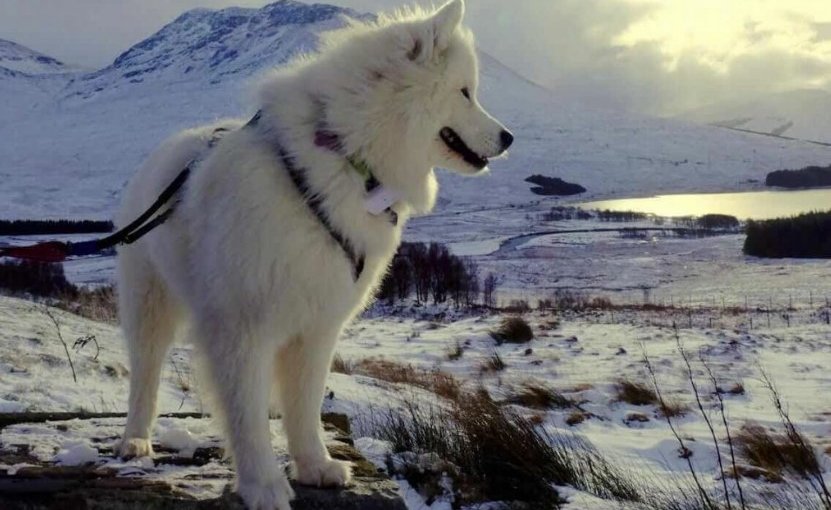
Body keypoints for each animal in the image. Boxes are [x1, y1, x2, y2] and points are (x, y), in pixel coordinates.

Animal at [114, 1, 510, 508]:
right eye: (465, 92)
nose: (508, 138)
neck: (347, 159)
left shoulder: (319, 324)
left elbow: (304, 405)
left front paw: (314, 466)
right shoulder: (241, 325)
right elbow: (247, 415)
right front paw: (263, 485)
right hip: (150, 306)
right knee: (144, 376)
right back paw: (135, 440)